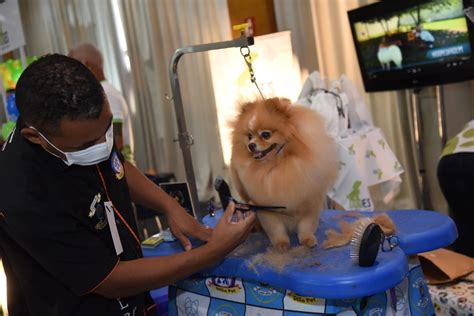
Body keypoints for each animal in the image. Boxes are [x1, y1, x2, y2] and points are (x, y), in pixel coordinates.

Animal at [230, 97, 336, 251]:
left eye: (266, 135)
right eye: (249, 136)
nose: (251, 145)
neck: (277, 165)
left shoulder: (309, 202)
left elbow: (306, 225)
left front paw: (307, 239)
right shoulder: (267, 209)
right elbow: (276, 229)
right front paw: (281, 243)